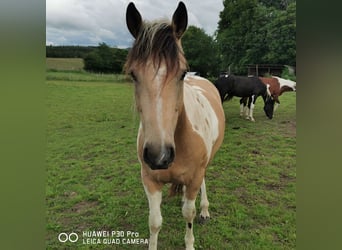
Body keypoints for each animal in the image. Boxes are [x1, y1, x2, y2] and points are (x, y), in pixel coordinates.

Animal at [124, 1, 226, 250]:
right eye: (133, 74)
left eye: (181, 73)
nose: (158, 156)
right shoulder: (149, 180)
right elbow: (154, 222)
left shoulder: (195, 176)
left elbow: (188, 214)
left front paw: (190, 242)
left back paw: (205, 210)